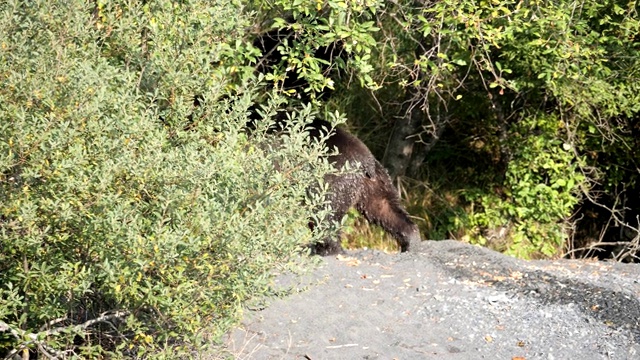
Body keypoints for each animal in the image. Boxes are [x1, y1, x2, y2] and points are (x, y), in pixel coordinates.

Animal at [304, 119, 420, 255]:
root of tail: (365, 161)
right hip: (375, 183)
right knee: (385, 207)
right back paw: (411, 242)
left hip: (328, 178)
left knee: (324, 212)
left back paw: (325, 250)